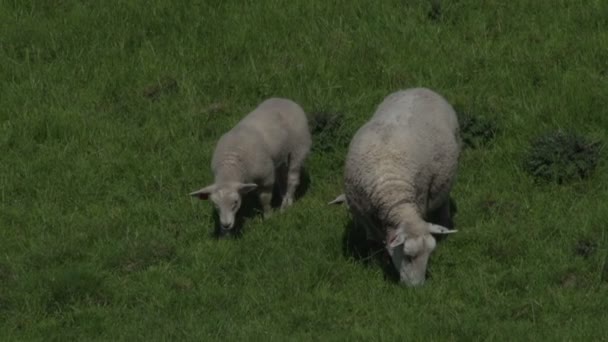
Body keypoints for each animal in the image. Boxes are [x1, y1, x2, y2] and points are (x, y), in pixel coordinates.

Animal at [190, 96, 312, 235]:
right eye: (215, 205)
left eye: (235, 202)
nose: (226, 225)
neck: (231, 165)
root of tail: (286, 100)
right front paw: (224, 233)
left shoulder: (266, 178)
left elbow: (264, 199)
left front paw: (268, 217)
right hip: (280, 156)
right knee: (282, 177)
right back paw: (284, 197)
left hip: (299, 148)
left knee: (292, 179)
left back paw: (287, 205)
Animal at [332, 87, 460, 286]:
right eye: (407, 255)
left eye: (430, 254)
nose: (417, 288)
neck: (392, 191)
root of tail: (420, 88)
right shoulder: (363, 215)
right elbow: (373, 240)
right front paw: (375, 261)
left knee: (444, 200)